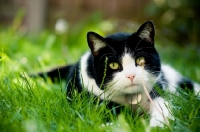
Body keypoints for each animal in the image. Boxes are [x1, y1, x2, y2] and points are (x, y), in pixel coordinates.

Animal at [36, 20, 200, 127]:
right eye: (114, 65)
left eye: (140, 60)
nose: (131, 75)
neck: (131, 99)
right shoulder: (94, 101)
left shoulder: (156, 93)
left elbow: (163, 111)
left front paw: (155, 126)